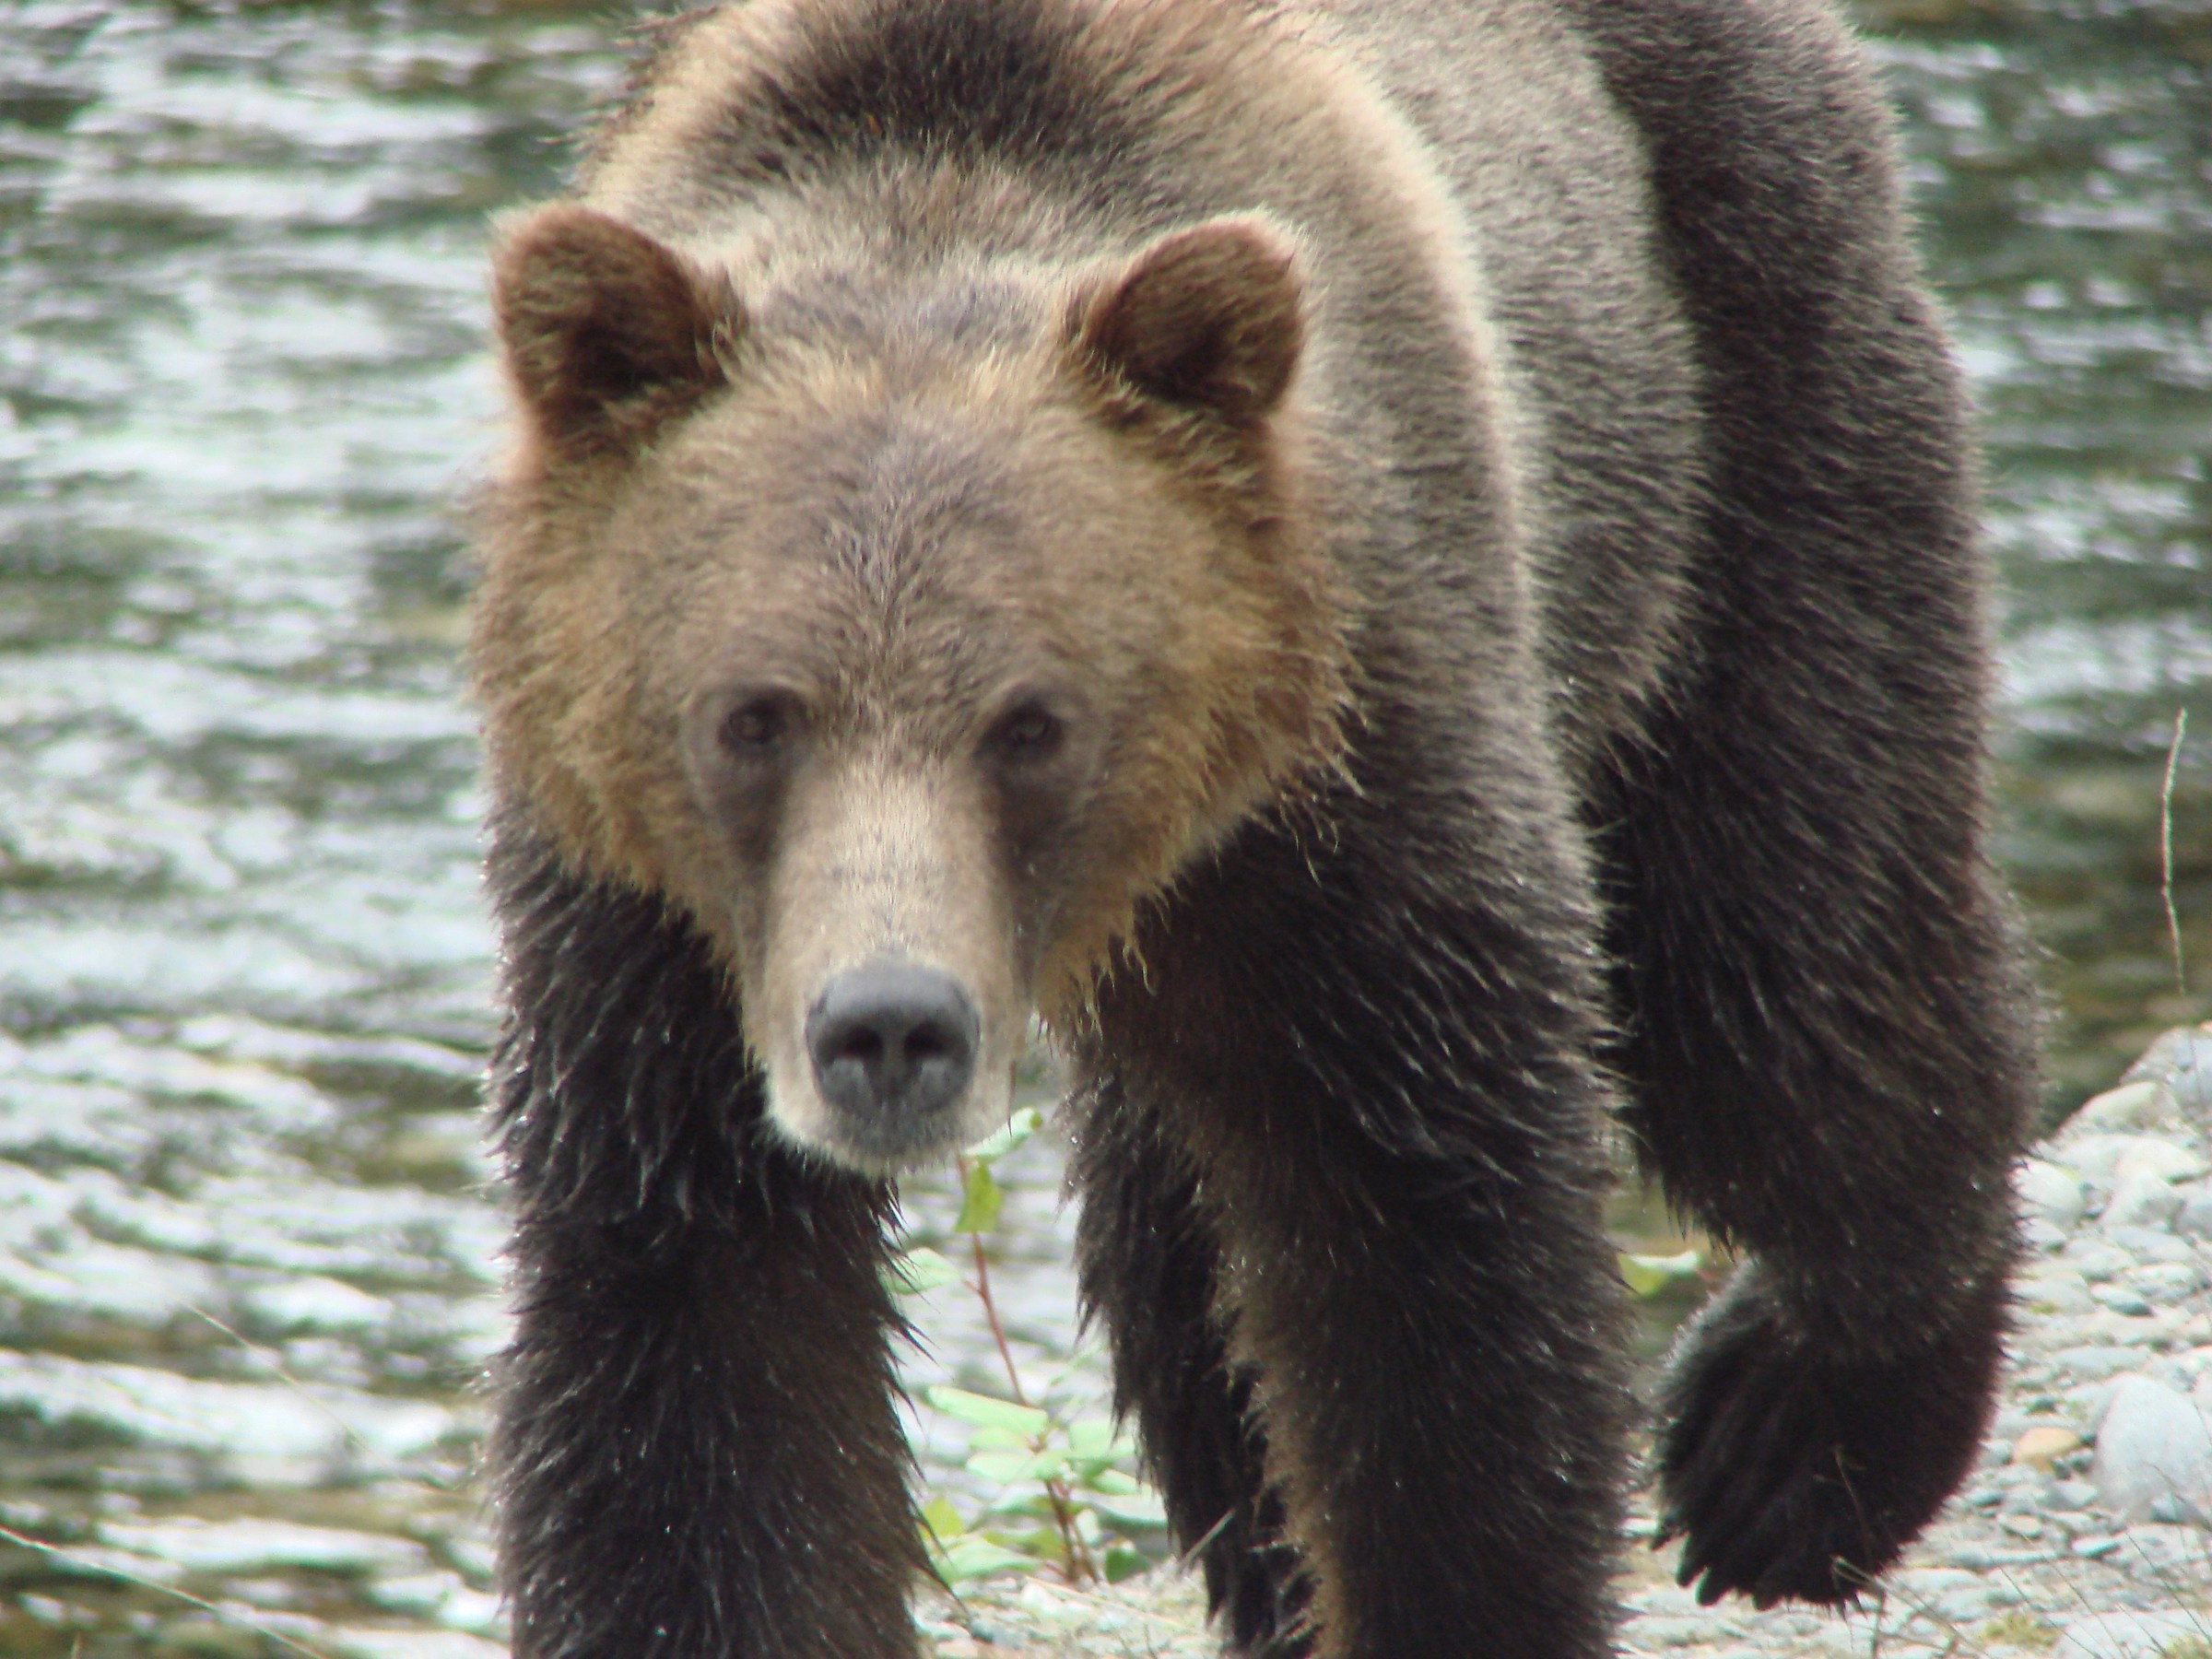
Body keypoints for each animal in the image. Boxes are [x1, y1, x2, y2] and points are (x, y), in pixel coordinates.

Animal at [468, 1, 2039, 1656]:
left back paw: (1802, 1436)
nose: (890, 1026)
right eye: (753, 717)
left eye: (1033, 721)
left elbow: (1434, 1295)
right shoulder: (653, 943)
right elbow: (699, 1355)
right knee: (1175, 1264)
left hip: (1722, 403)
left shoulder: (1365, 790)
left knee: (1781, 948)